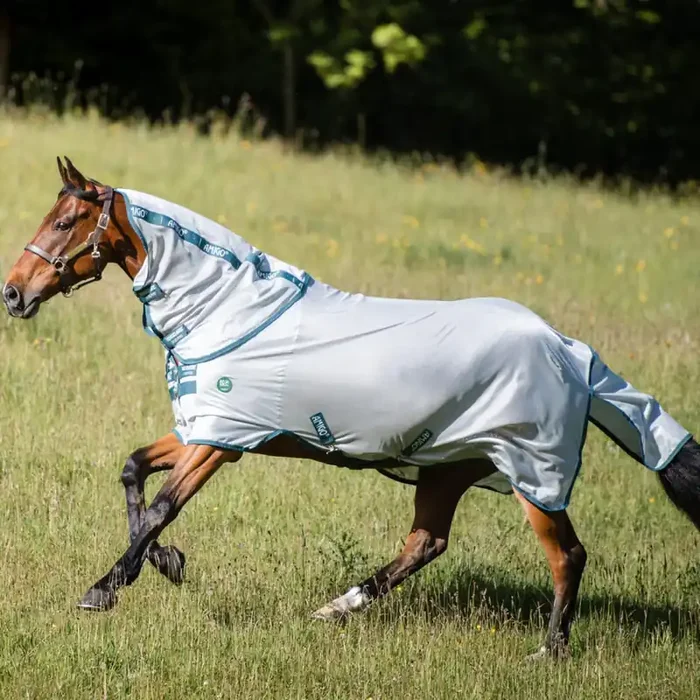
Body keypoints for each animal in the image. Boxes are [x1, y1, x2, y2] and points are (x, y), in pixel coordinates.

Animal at [3, 158, 698, 660]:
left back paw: (548, 653)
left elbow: (160, 508)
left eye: (64, 223)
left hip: (531, 472)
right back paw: (336, 608)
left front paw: (103, 590)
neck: (230, 309)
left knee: (567, 558)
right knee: (426, 543)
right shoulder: (202, 430)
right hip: (450, 466)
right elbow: (133, 473)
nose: (13, 294)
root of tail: (569, 348)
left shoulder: (221, 440)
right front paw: (164, 565)